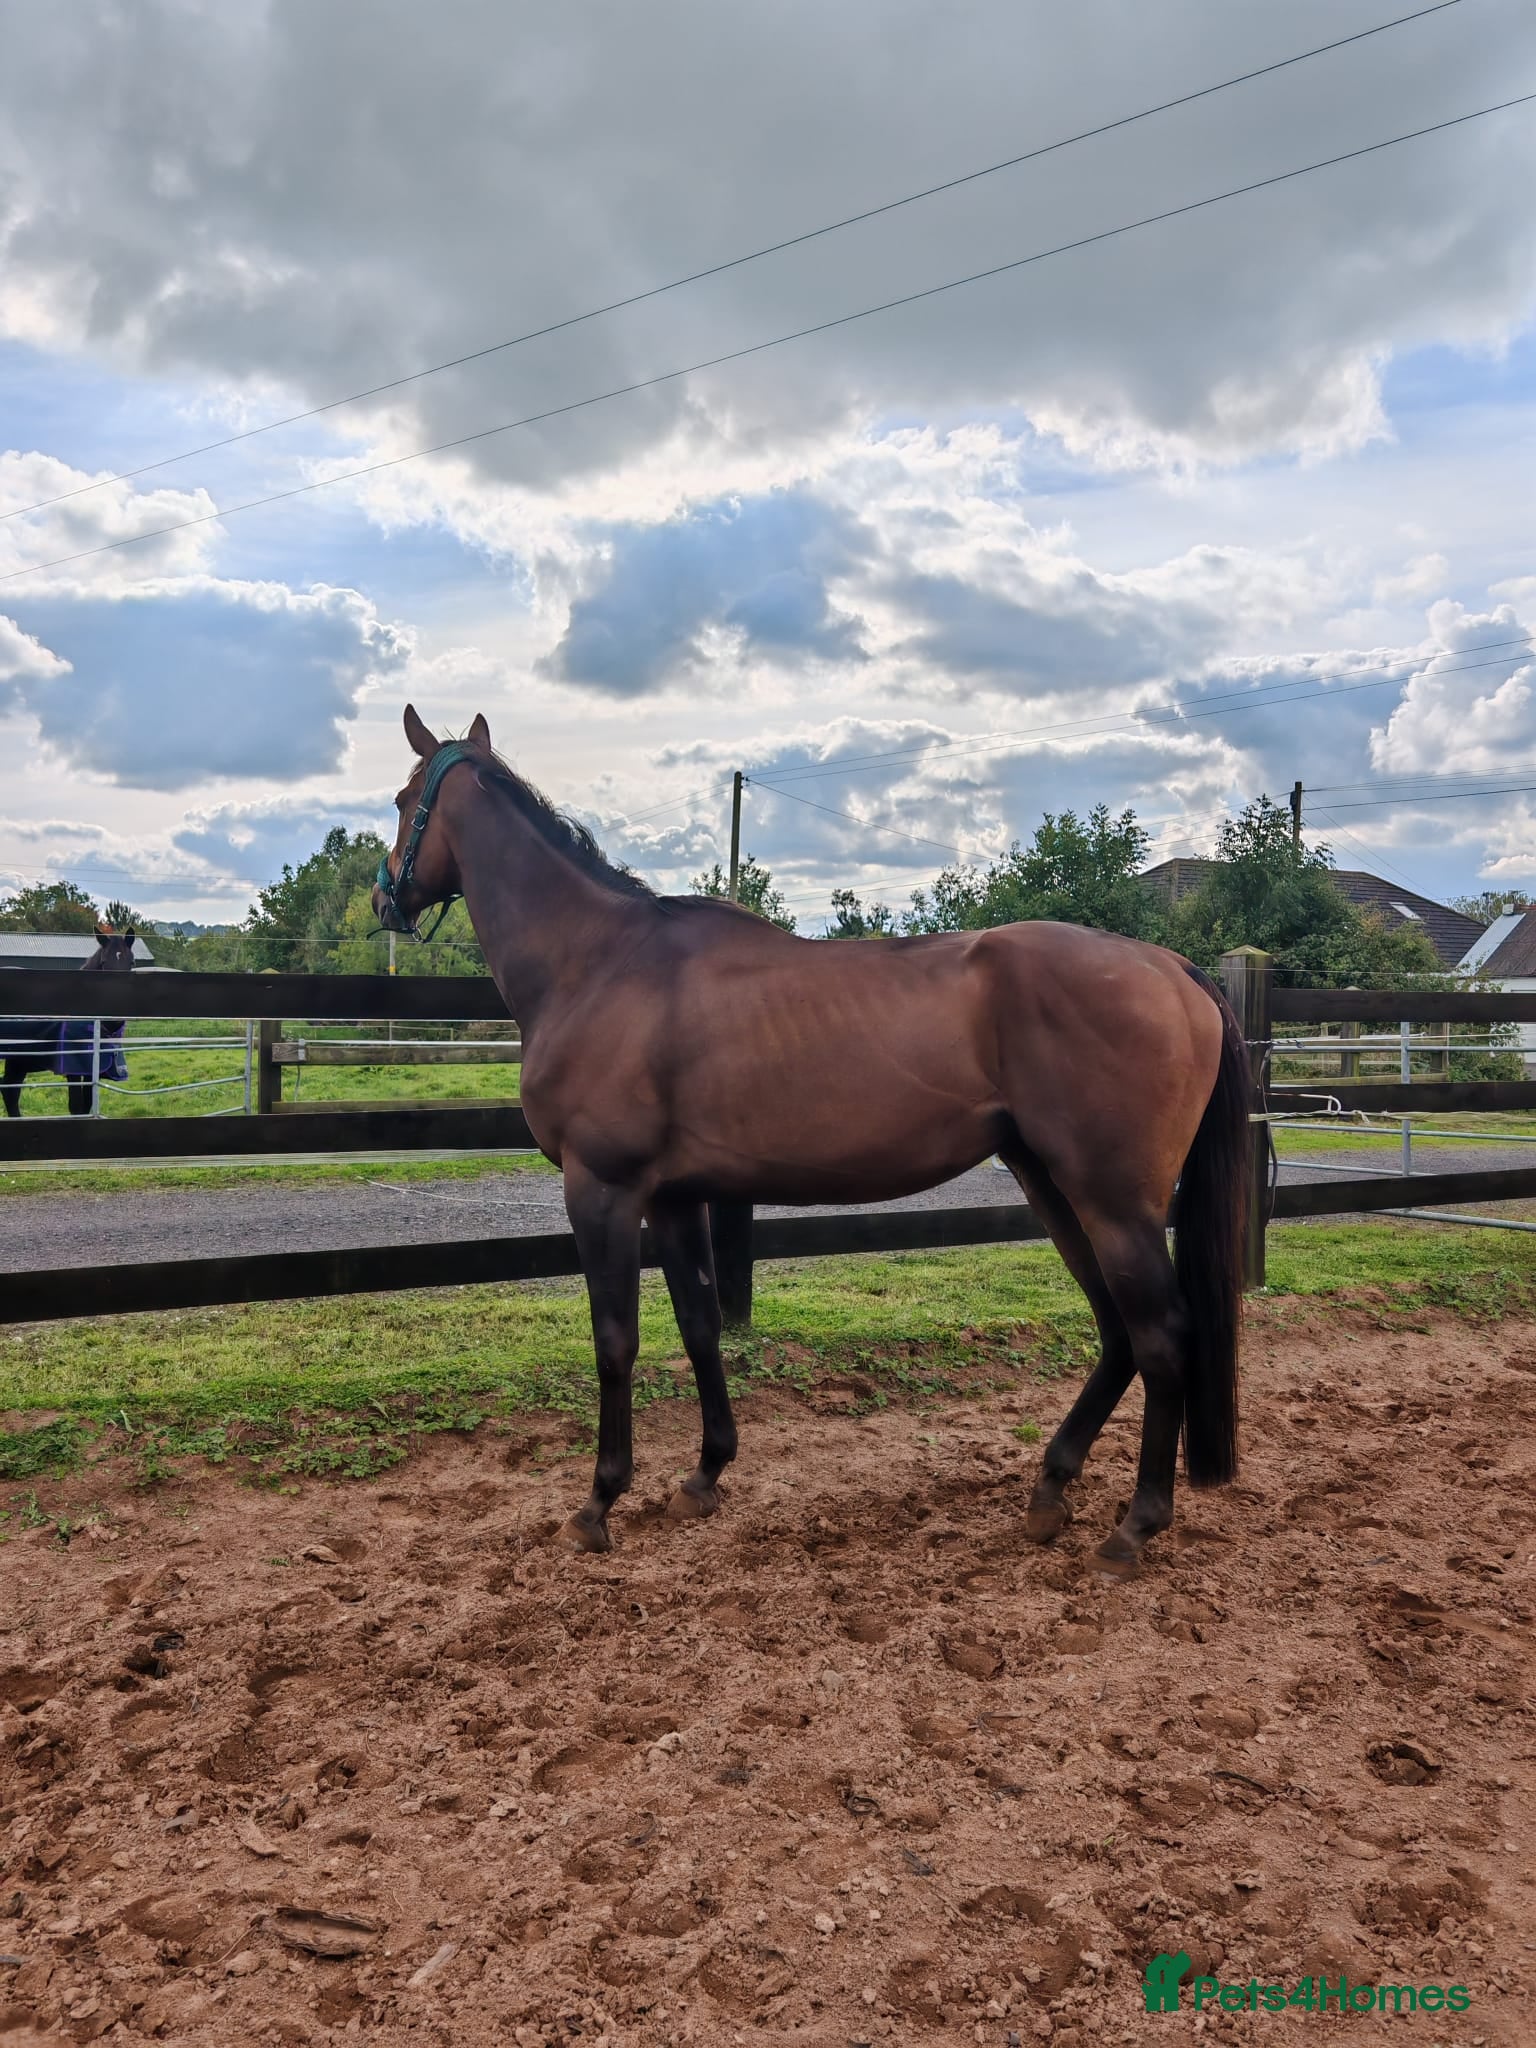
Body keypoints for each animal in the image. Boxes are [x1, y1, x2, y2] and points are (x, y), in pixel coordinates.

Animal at [0, 924, 136, 1118]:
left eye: (131, 963)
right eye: (103, 963)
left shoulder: (92, 1069)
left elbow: (87, 1105)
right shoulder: (73, 1068)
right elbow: (76, 1107)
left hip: (19, 1059)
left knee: (10, 1091)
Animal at [374, 706, 1249, 1571]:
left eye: (402, 799)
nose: (386, 900)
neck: (599, 963)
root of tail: (1177, 969)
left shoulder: (603, 1190)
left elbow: (615, 1342)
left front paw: (598, 1503)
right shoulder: (676, 1199)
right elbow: (699, 1325)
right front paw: (704, 1474)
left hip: (1113, 1201)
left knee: (1162, 1337)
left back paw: (1135, 1524)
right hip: (1052, 1183)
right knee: (1118, 1331)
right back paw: (1050, 1490)